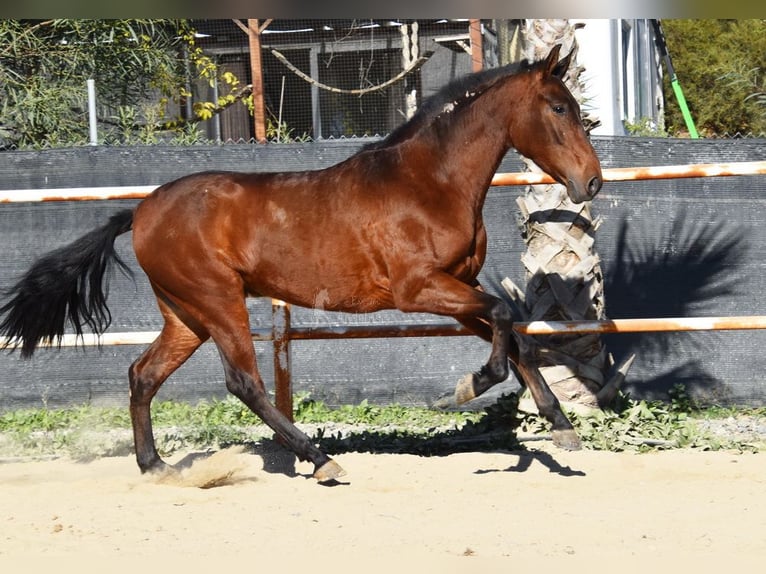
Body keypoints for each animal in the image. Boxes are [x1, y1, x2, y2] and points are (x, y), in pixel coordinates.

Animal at [0, 46, 604, 486]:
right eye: (558, 108)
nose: (592, 182)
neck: (429, 183)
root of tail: (143, 211)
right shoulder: (419, 289)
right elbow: (504, 319)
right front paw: (466, 387)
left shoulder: (457, 289)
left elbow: (516, 334)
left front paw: (562, 428)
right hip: (217, 302)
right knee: (244, 382)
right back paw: (320, 460)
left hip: (185, 315)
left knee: (143, 375)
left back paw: (155, 468)